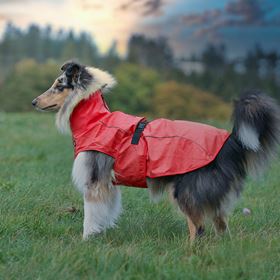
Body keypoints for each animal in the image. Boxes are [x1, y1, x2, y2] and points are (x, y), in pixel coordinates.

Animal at [32, 61, 280, 241]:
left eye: (59, 86)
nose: (34, 102)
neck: (95, 121)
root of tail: (231, 142)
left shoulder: (94, 181)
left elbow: (90, 215)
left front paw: (87, 239)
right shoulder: (108, 184)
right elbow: (107, 210)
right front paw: (103, 233)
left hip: (187, 191)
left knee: (198, 229)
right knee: (221, 225)